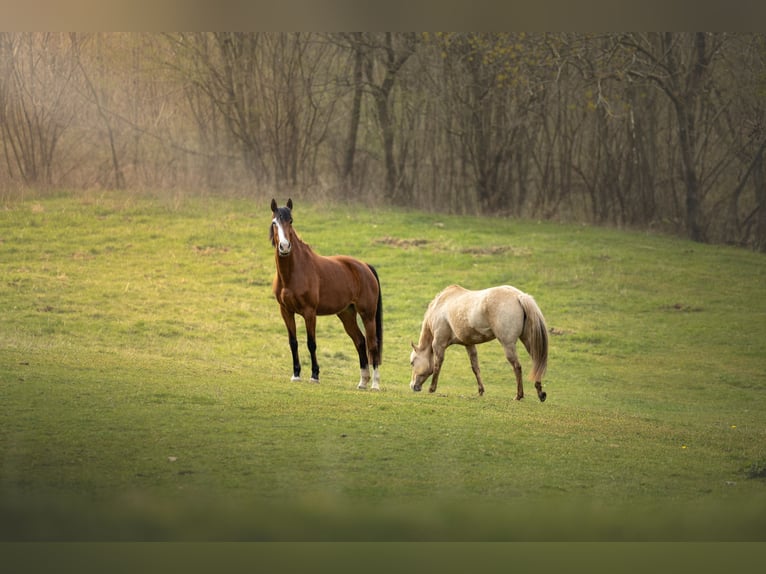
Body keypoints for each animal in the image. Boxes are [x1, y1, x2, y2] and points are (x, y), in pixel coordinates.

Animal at [270, 198, 383, 390]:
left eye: (291, 221)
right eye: (274, 223)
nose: (284, 247)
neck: (293, 272)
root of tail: (365, 266)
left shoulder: (309, 313)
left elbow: (311, 343)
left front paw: (314, 375)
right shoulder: (286, 311)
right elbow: (293, 342)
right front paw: (296, 374)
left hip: (367, 315)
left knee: (372, 344)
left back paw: (375, 384)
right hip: (346, 314)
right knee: (360, 341)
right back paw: (362, 382)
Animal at [409, 284, 548, 401]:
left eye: (412, 362)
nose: (413, 386)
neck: (440, 305)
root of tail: (519, 296)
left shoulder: (439, 344)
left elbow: (437, 365)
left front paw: (432, 388)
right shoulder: (469, 344)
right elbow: (475, 367)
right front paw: (481, 391)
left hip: (508, 345)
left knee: (517, 367)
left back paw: (519, 395)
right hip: (528, 341)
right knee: (536, 362)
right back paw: (540, 393)